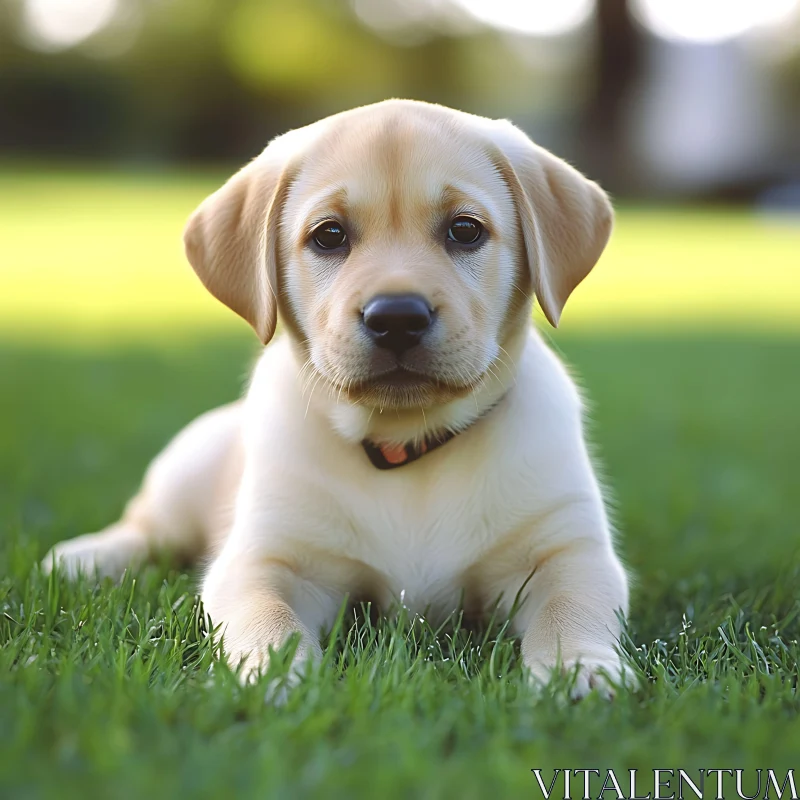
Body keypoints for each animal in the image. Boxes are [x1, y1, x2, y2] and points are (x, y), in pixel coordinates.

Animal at [43, 101, 632, 700]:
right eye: (329, 236)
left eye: (465, 230)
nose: (397, 317)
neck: (404, 443)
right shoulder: (266, 558)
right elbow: (267, 616)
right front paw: (270, 673)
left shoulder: (568, 550)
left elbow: (570, 608)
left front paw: (578, 668)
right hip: (185, 472)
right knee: (147, 528)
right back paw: (84, 558)